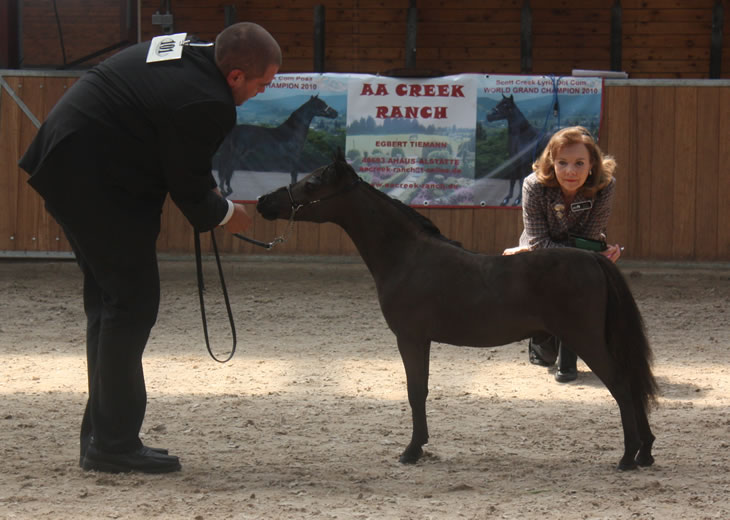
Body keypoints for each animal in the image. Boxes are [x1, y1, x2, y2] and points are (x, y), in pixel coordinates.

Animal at [258, 150, 660, 472]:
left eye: (312, 184)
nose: (263, 201)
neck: (407, 256)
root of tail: (593, 259)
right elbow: (420, 390)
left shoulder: (411, 338)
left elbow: (415, 391)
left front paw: (411, 451)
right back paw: (645, 454)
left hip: (586, 340)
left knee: (622, 386)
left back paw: (627, 458)